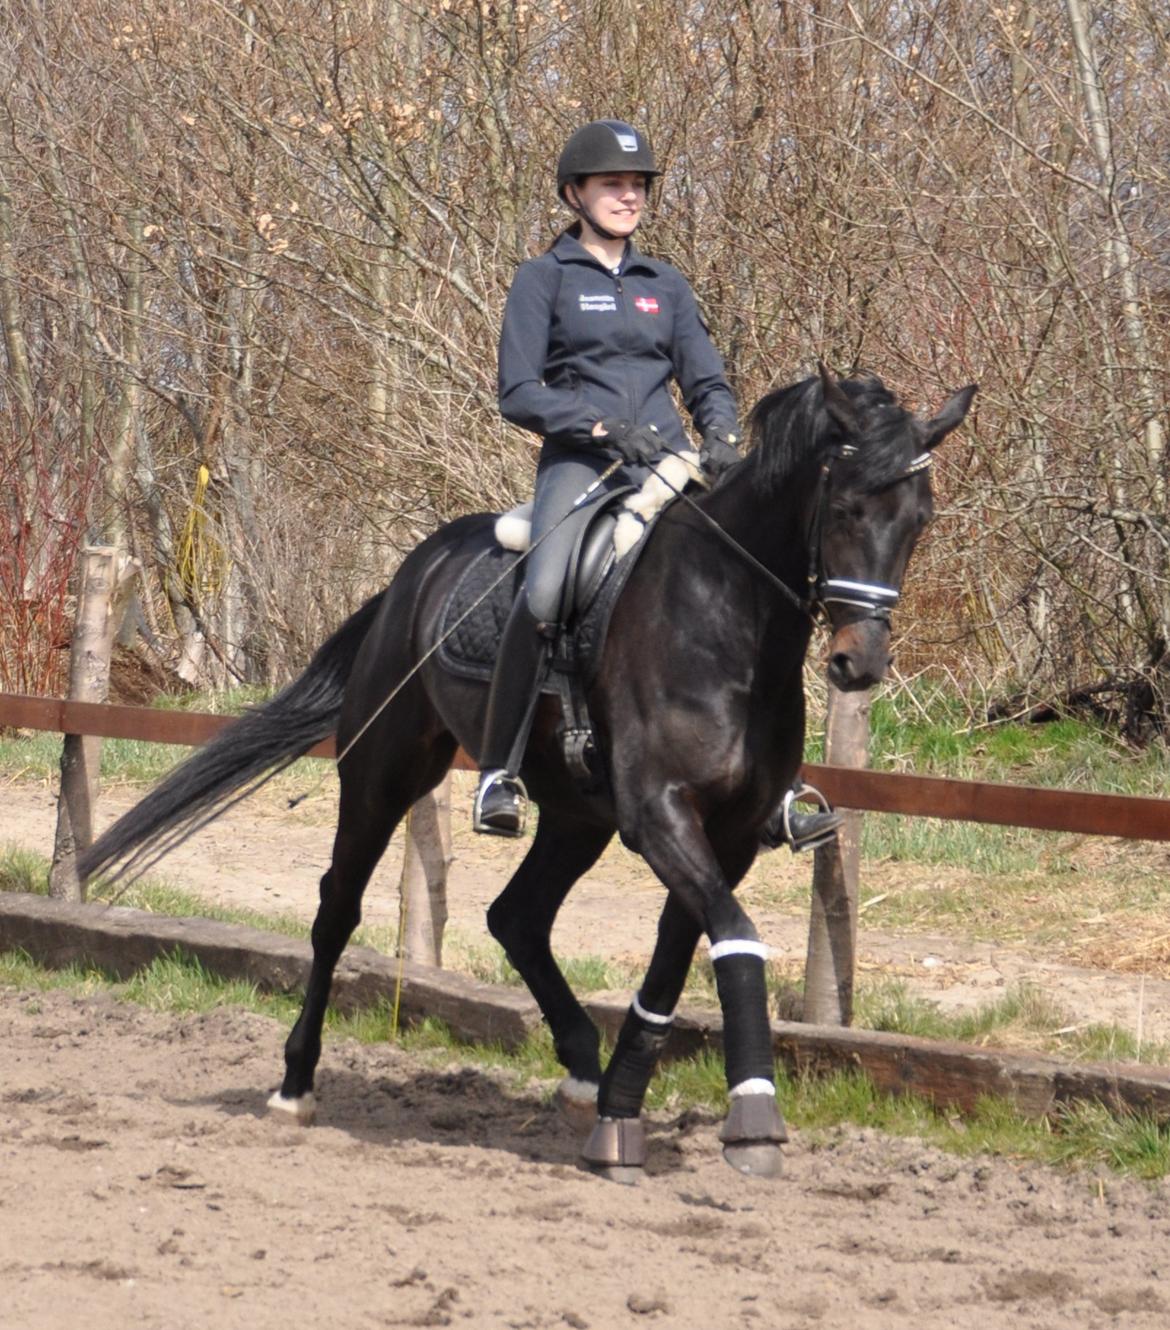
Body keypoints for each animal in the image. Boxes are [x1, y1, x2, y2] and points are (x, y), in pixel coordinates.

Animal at [82, 367, 973, 1186]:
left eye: (919, 519)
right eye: (848, 508)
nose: (859, 664)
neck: (727, 622)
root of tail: (414, 570)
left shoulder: (726, 833)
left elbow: (684, 956)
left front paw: (620, 1114)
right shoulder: (659, 814)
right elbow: (735, 937)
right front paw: (752, 1118)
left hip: (577, 816)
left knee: (516, 917)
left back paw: (581, 1070)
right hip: (383, 775)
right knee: (337, 911)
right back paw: (296, 1083)